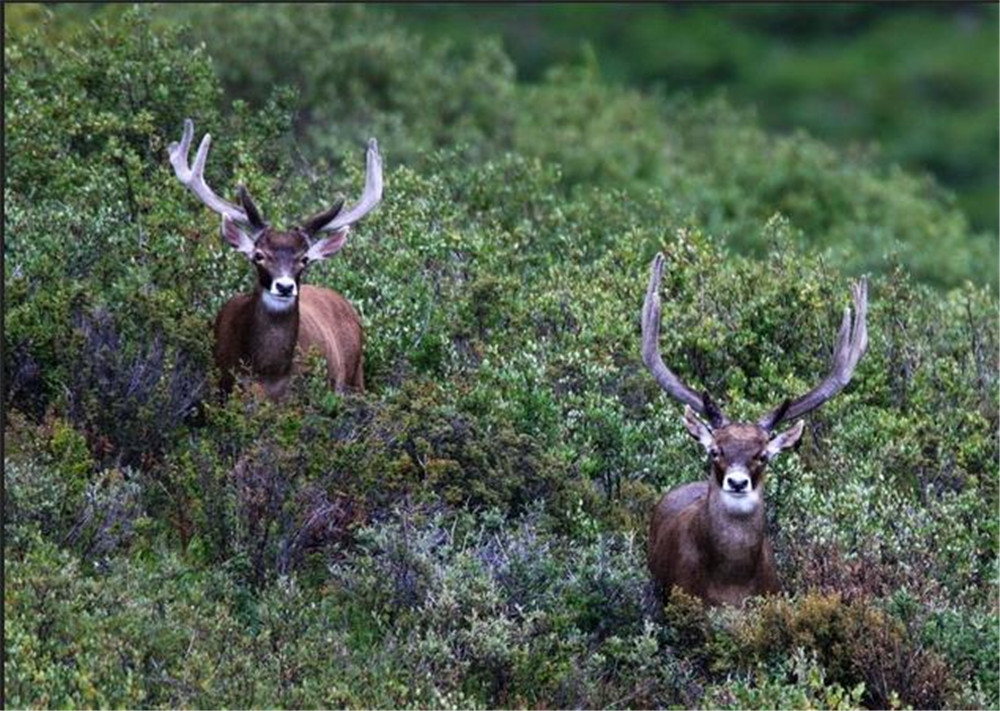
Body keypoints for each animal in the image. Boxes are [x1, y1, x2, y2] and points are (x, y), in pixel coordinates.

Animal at [170, 120, 380, 404]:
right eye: (259, 255)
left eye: (304, 259)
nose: (284, 286)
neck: (266, 374)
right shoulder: (221, 387)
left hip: (356, 378)